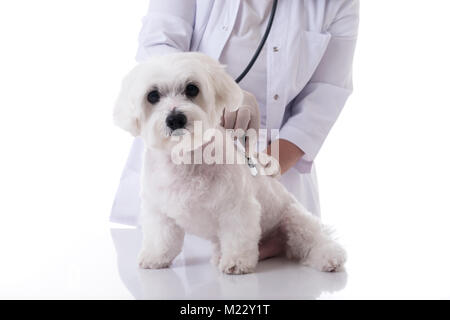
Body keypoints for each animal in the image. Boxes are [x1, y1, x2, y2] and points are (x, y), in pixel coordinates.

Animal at [114, 52, 346, 276]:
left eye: (192, 88)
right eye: (152, 96)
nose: (175, 118)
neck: (186, 159)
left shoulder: (237, 208)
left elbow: (238, 236)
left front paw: (237, 262)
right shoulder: (159, 211)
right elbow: (161, 238)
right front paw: (155, 258)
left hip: (294, 219)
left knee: (312, 241)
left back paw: (329, 257)